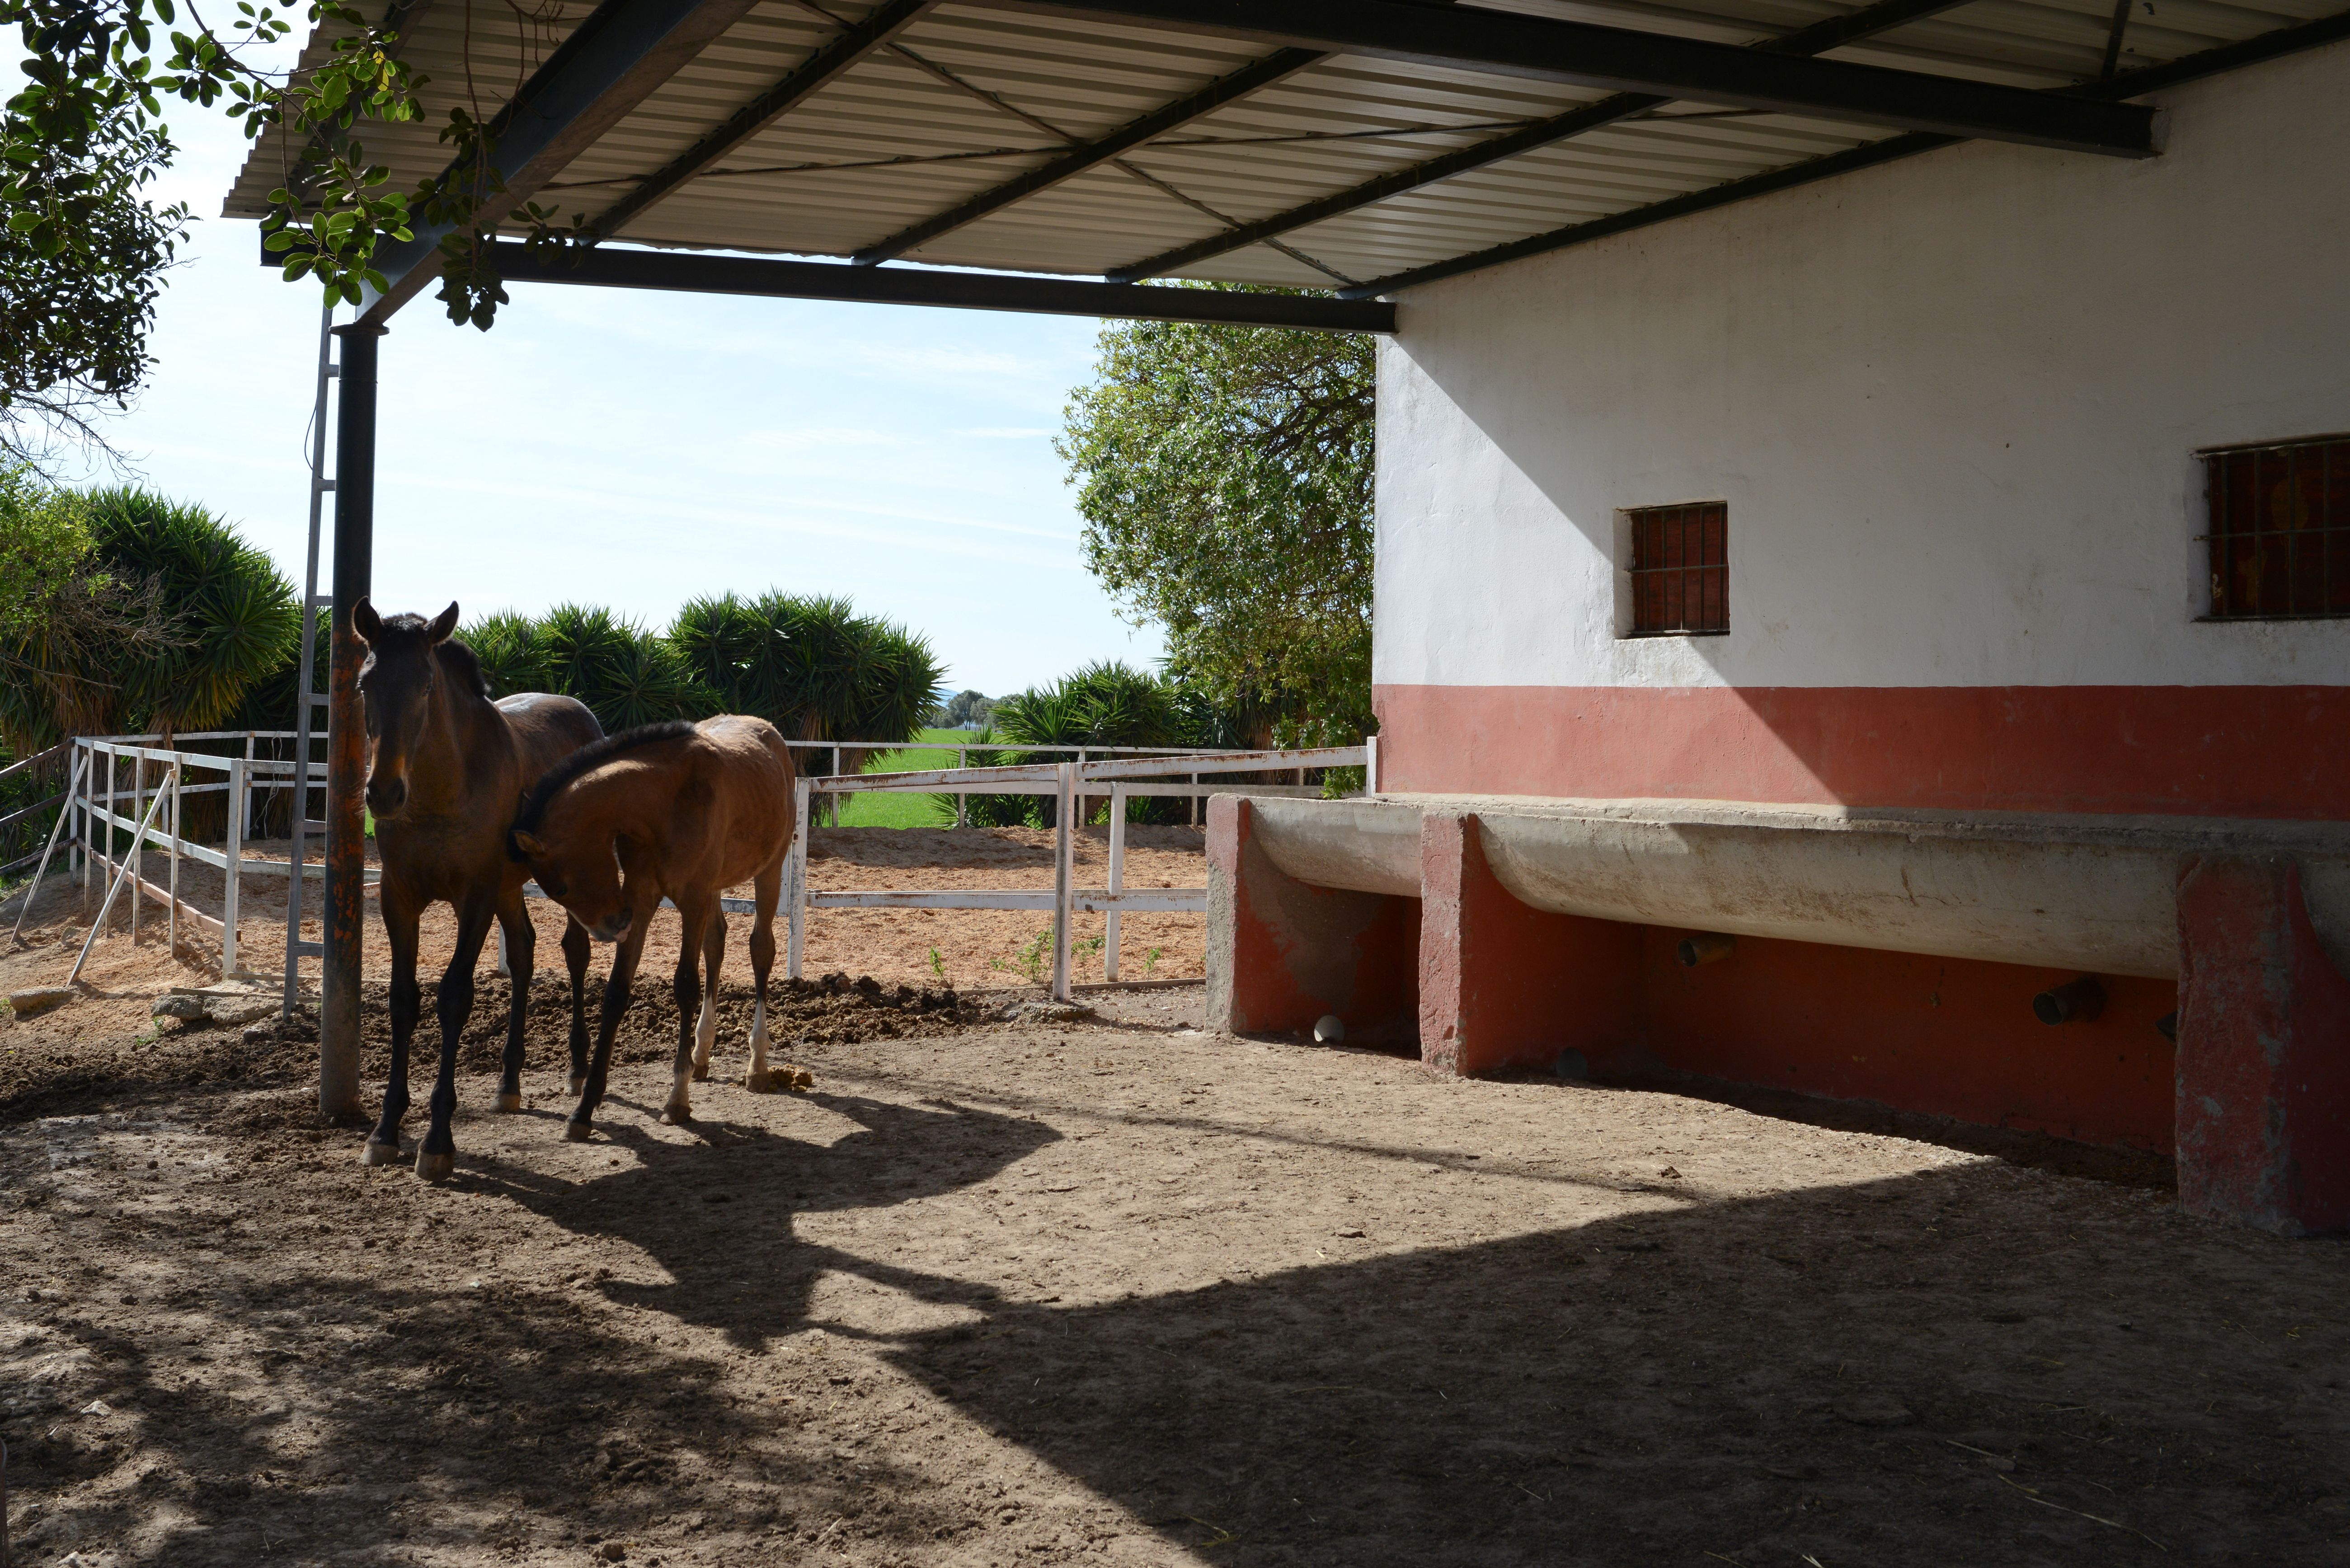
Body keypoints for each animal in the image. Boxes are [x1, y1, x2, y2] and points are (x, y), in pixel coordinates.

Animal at [352, 601, 606, 1175]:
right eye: (363, 683)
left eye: (426, 684)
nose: (383, 792)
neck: (442, 790)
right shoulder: (398, 898)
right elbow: (403, 998)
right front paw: (385, 1129)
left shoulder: (474, 898)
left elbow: (454, 996)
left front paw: (437, 1140)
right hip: (509, 888)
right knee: (525, 950)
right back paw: (509, 1081)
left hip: (556, 881)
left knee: (574, 952)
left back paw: (578, 1069)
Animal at [510, 714, 804, 1142]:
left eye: (560, 887)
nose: (612, 928)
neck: (663, 804)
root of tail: (771, 735)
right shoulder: (642, 899)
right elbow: (616, 993)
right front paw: (584, 1110)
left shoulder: (693, 900)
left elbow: (685, 985)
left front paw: (677, 1101)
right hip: (715, 888)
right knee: (717, 943)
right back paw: (701, 1055)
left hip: (770, 868)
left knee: (761, 949)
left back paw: (757, 1066)